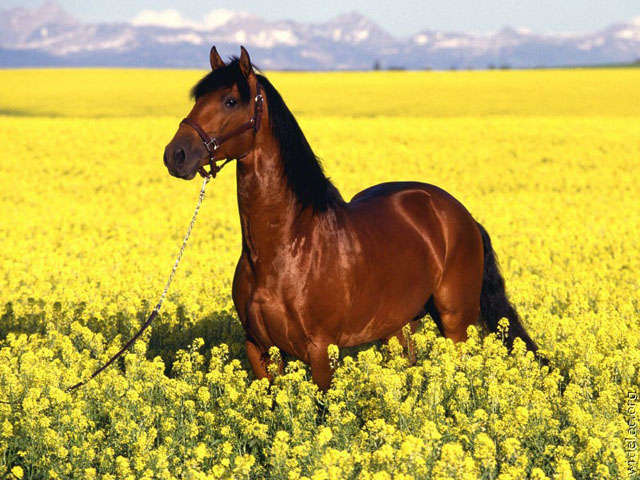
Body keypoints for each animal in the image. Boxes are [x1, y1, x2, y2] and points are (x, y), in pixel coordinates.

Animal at [162, 45, 536, 392]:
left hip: (457, 322)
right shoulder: (259, 349)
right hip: (399, 325)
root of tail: (460, 213)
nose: (175, 155)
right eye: (198, 98)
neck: (284, 247)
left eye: (230, 101)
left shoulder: (321, 350)